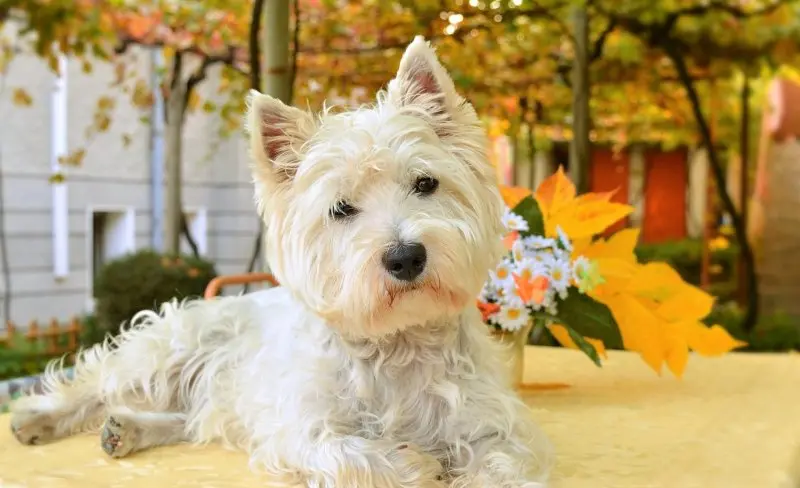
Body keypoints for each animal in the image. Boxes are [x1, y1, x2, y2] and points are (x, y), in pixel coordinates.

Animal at [9, 36, 552, 486]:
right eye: (341, 208)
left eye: (425, 183)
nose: (405, 257)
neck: (398, 343)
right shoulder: (302, 426)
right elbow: (359, 454)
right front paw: (421, 462)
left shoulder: (494, 425)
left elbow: (502, 463)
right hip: (169, 350)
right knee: (97, 381)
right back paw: (39, 417)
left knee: (190, 419)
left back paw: (126, 428)